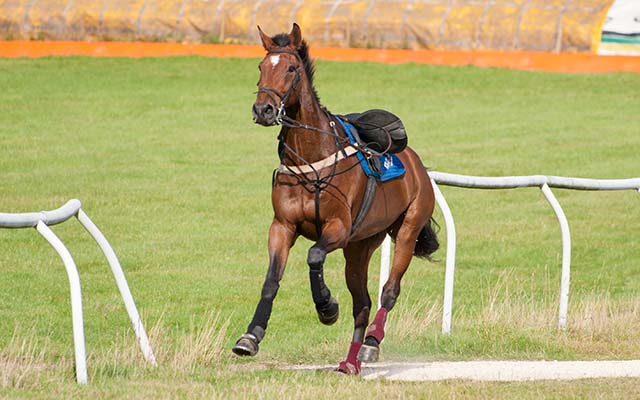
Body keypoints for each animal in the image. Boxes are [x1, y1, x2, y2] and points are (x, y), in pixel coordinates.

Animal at [232, 23, 439, 375]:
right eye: (261, 67)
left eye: (291, 68)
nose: (264, 110)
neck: (311, 157)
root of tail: (415, 163)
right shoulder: (282, 226)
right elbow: (271, 280)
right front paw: (251, 336)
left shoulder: (338, 229)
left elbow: (314, 255)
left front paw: (326, 306)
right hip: (360, 247)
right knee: (363, 303)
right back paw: (350, 361)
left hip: (407, 230)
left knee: (388, 292)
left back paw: (371, 344)